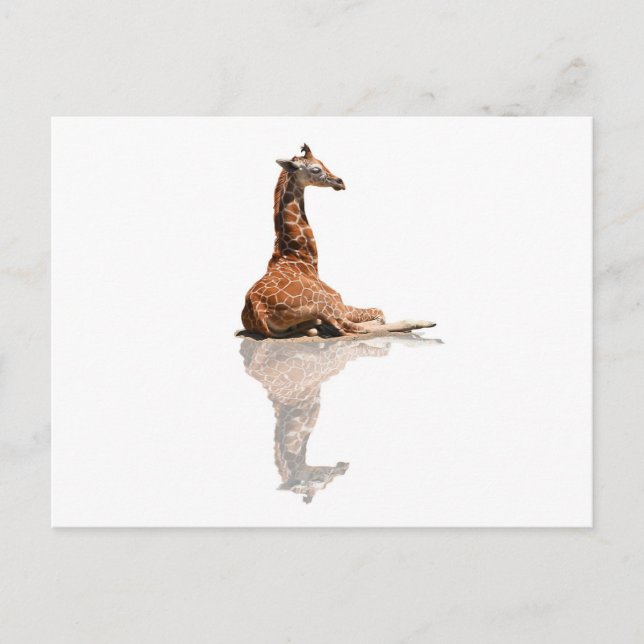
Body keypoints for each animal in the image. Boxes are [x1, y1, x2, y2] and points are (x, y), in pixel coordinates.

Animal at [241, 144, 386, 338]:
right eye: (316, 169)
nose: (340, 182)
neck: (301, 257)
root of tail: (258, 311)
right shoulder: (339, 302)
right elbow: (379, 312)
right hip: (325, 304)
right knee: (350, 329)